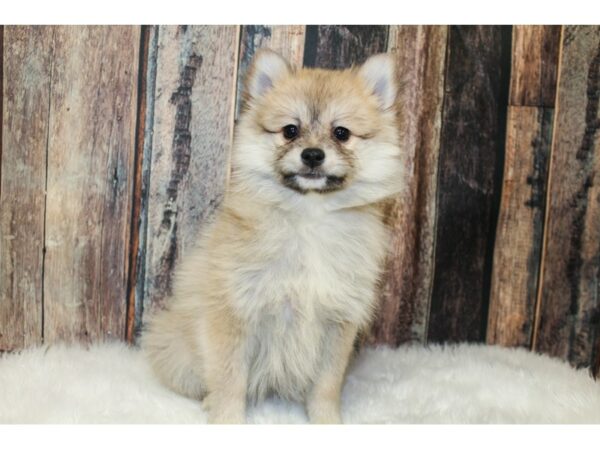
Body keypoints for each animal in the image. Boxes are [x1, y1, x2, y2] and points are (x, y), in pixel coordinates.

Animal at [141, 51, 404, 424]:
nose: (312, 154)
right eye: (290, 130)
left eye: (341, 133)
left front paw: (327, 422)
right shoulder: (235, 312)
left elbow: (327, 385)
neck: (309, 215)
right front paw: (227, 420)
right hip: (177, 352)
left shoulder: (339, 322)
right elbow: (229, 380)